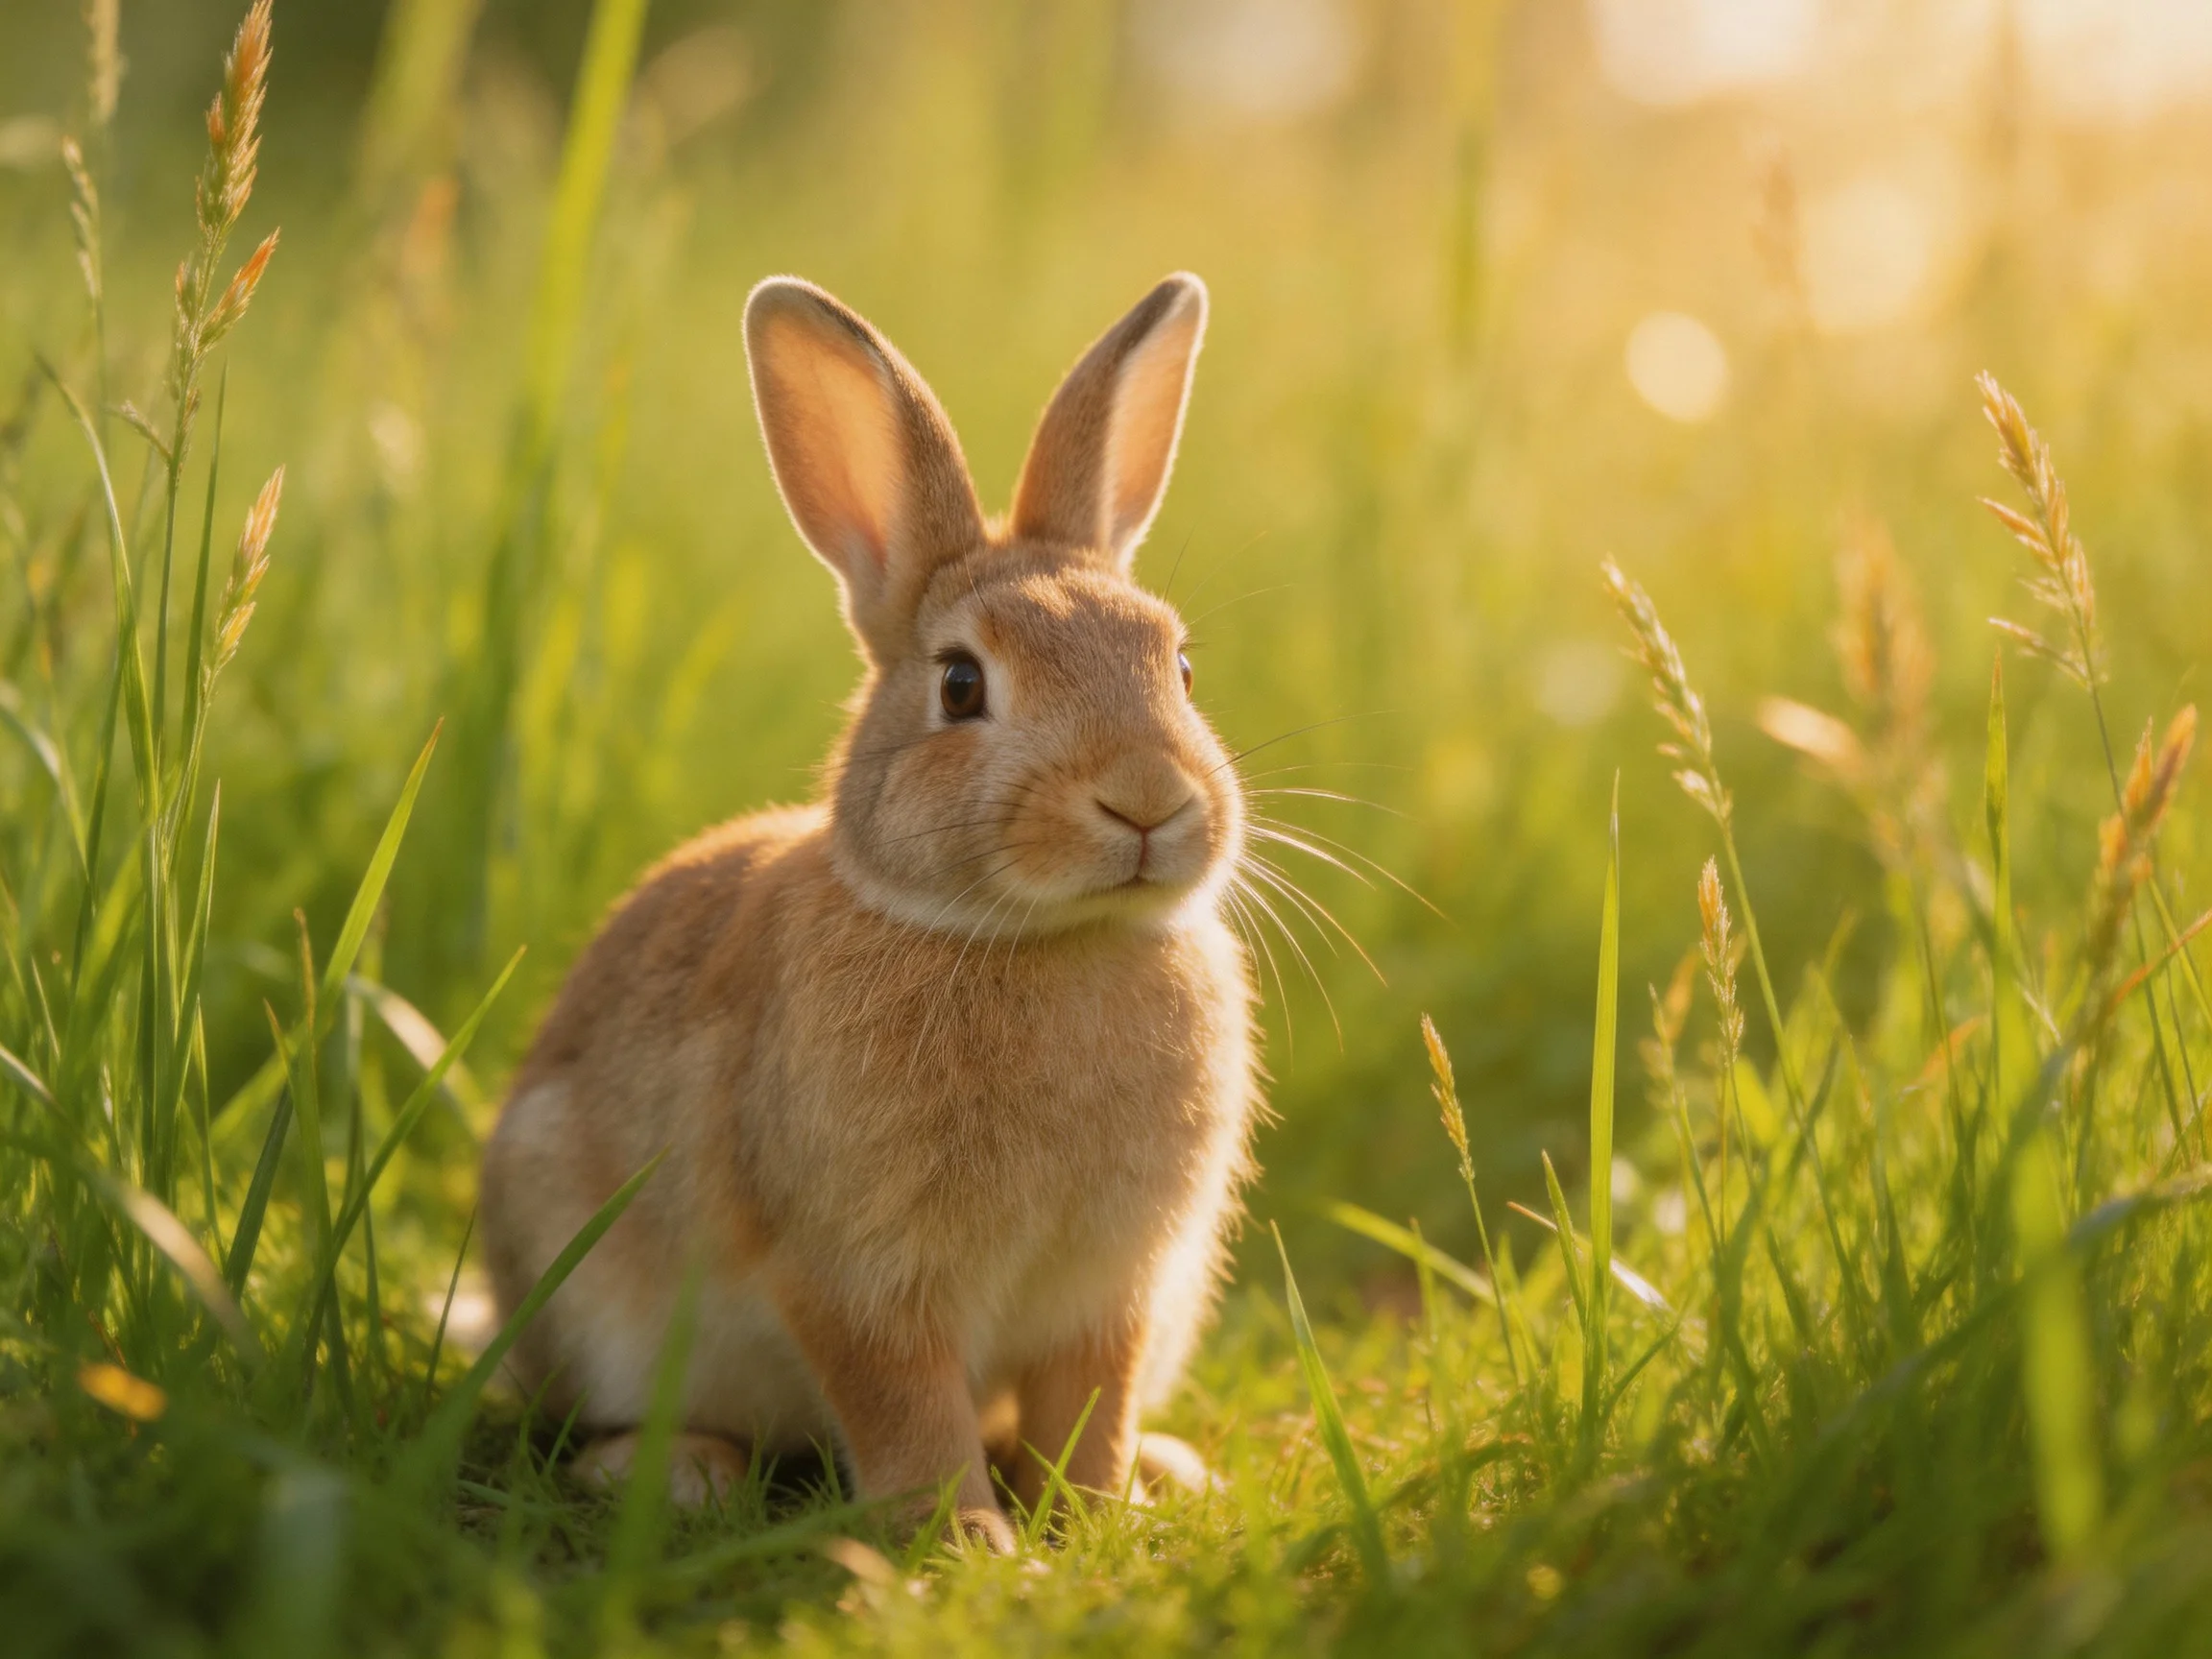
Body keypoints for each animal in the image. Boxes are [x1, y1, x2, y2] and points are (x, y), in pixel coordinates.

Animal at [479, 271, 1257, 1551]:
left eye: (1180, 667)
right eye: (961, 685)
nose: (1147, 797)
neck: (1043, 939)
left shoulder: (1116, 1286)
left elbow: (1086, 1406)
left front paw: (1096, 1516)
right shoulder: (857, 1275)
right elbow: (908, 1411)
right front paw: (968, 1544)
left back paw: (1170, 1468)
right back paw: (675, 1473)